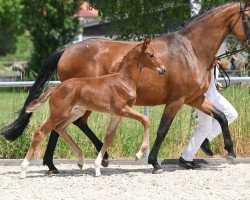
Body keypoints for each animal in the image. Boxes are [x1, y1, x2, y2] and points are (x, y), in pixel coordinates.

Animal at [20, 38, 166, 177]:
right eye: (151, 55)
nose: (163, 69)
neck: (124, 80)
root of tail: (55, 88)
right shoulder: (122, 109)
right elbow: (145, 120)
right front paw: (138, 155)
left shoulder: (116, 114)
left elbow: (108, 137)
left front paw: (98, 167)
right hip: (59, 113)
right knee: (40, 133)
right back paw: (24, 170)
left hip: (76, 112)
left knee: (60, 128)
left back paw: (80, 160)